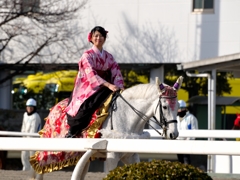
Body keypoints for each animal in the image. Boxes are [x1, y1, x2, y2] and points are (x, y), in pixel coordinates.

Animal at [31, 75, 183, 179]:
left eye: (177, 108)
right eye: (165, 106)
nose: (173, 134)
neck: (127, 118)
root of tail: (54, 108)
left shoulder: (131, 156)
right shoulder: (112, 156)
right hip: (47, 154)